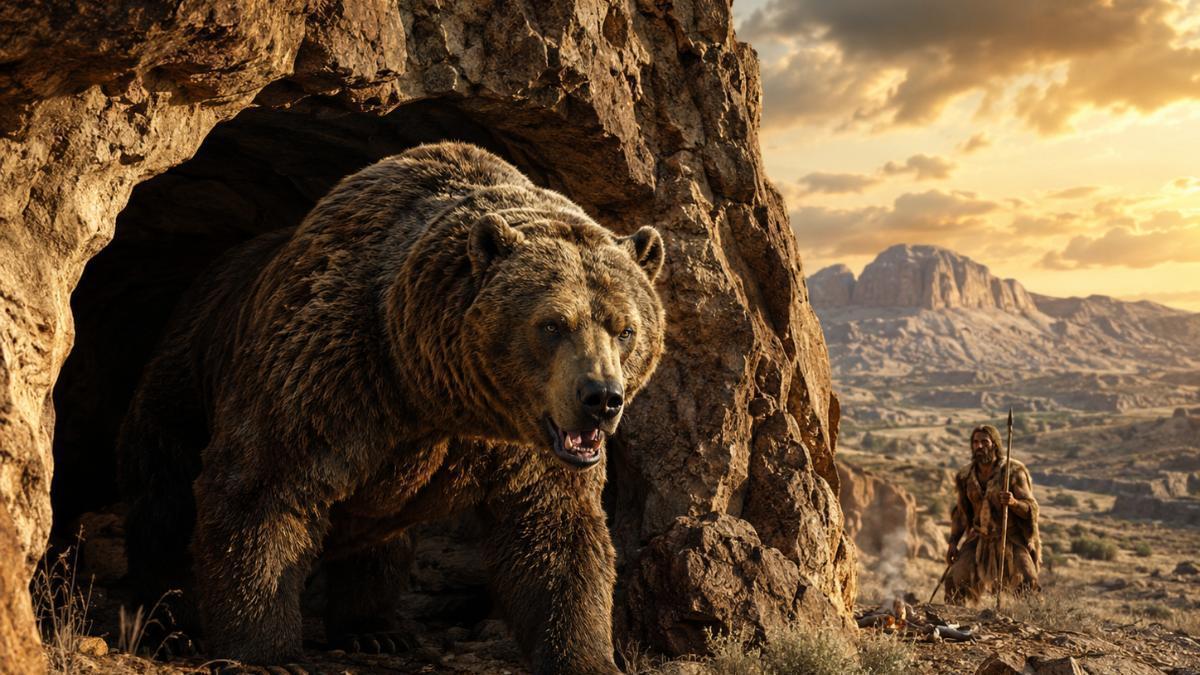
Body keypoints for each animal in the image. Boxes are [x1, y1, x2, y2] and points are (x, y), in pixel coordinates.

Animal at [116, 141, 666, 674]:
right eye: (552, 324)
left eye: (625, 328)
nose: (601, 398)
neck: (433, 389)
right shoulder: (328, 373)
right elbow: (261, 489)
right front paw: (265, 656)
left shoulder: (522, 444)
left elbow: (556, 531)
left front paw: (587, 655)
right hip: (186, 377)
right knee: (165, 500)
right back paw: (167, 626)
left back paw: (376, 630)